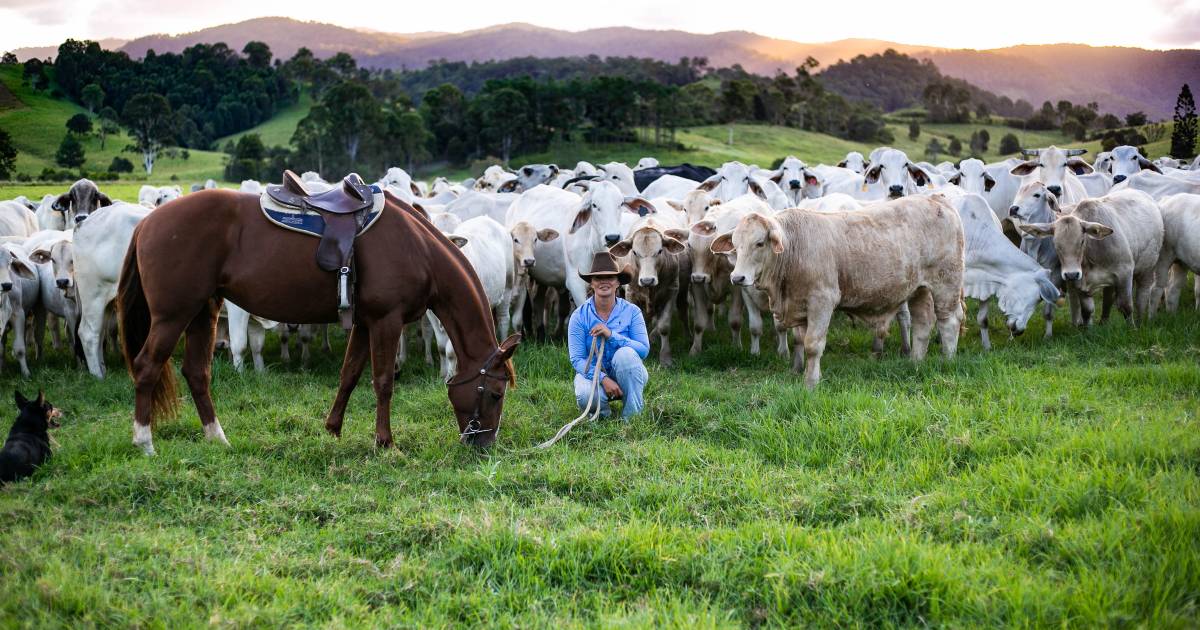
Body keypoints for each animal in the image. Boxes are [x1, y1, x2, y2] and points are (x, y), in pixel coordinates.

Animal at [115, 186, 520, 451]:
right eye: (495, 393)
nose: (484, 445)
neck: (415, 246)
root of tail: (147, 223)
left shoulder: (365, 322)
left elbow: (349, 375)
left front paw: (333, 428)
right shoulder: (386, 321)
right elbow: (383, 381)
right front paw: (385, 442)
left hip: (203, 311)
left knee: (197, 372)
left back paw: (218, 438)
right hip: (173, 315)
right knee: (147, 366)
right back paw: (144, 441)